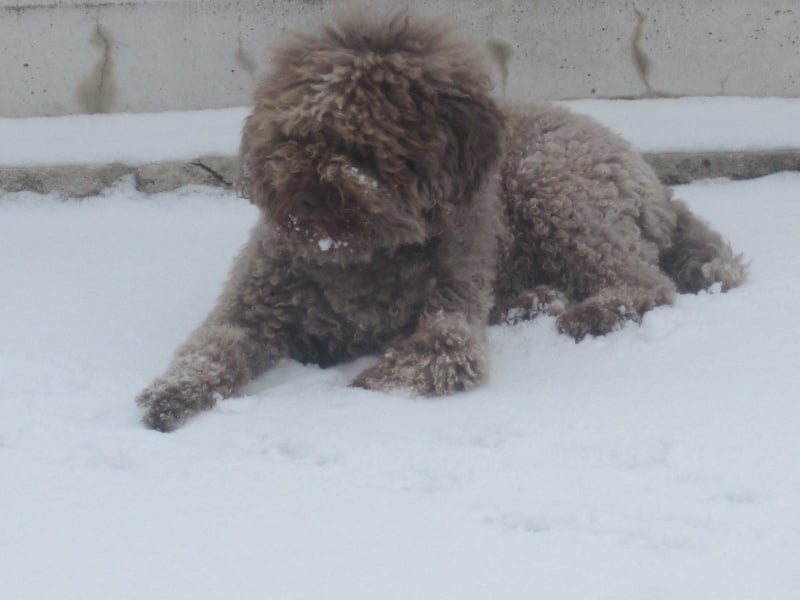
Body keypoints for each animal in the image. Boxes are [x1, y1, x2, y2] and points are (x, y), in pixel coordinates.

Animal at [136, 10, 744, 432]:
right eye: (296, 133)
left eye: (362, 146)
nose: (302, 198)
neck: (359, 255)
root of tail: (654, 181)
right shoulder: (249, 308)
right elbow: (209, 348)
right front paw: (170, 395)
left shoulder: (449, 320)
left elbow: (423, 361)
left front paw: (356, 388)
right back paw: (532, 302)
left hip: (556, 189)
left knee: (646, 284)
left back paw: (585, 315)